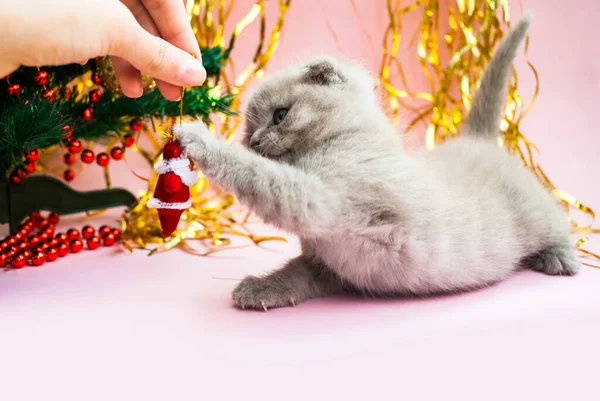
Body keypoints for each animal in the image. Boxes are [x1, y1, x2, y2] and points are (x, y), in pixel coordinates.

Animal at [176, 13, 580, 310]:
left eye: (280, 115)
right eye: (250, 134)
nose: (257, 142)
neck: (343, 137)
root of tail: (475, 139)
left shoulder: (318, 199)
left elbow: (260, 176)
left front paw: (197, 137)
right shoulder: (327, 260)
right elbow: (295, 273)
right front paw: (261, 289)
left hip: (534, 211)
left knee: (557, 219)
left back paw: (561, 259)